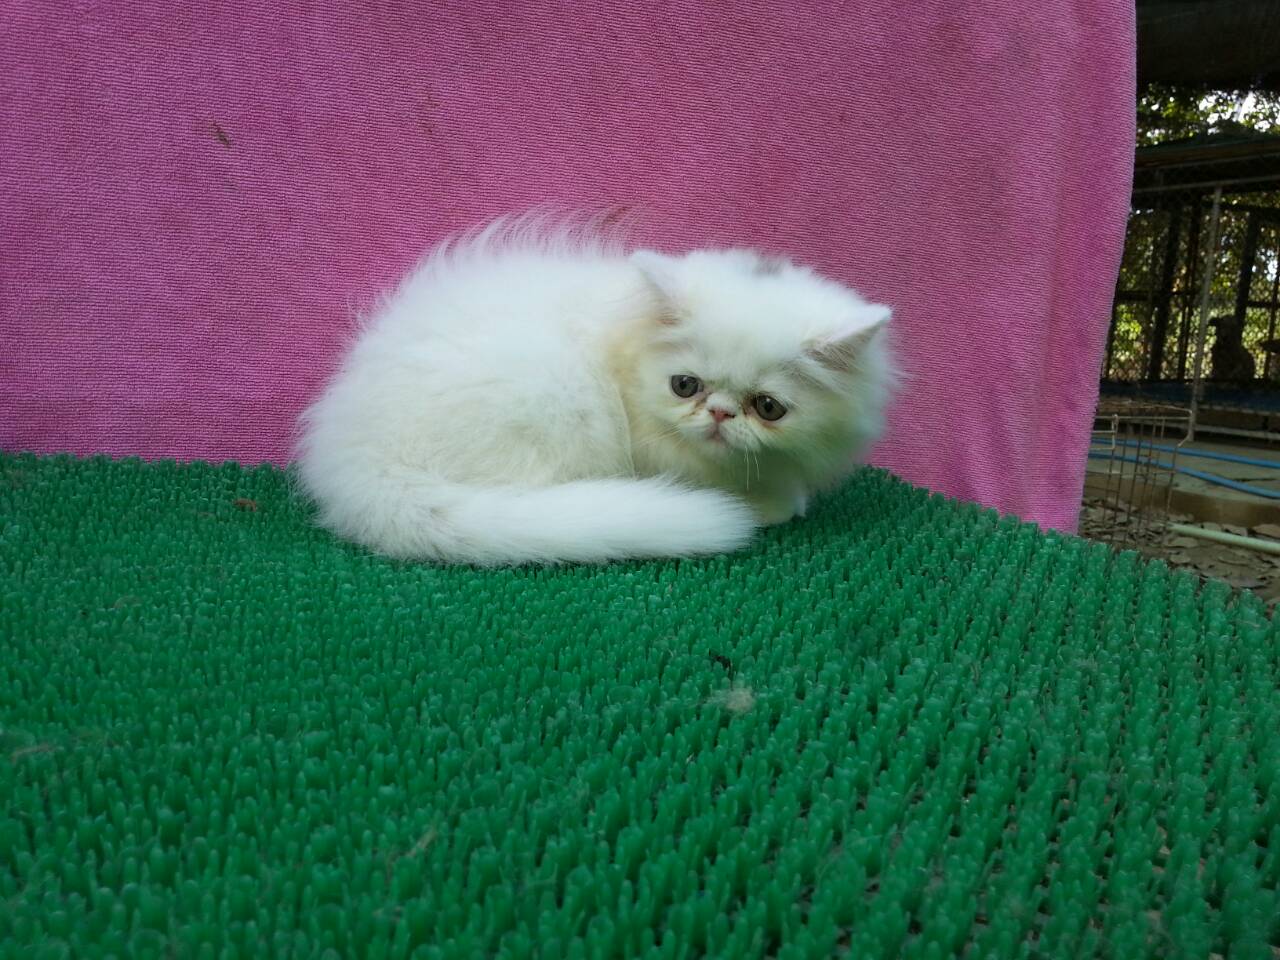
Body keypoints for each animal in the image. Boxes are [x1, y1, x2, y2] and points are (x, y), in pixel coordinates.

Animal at [296, 215, 896, 565]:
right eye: (685, 386)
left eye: (768, 408)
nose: (721, 414)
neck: (625, 347)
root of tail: (357, 458)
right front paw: (770, 505)